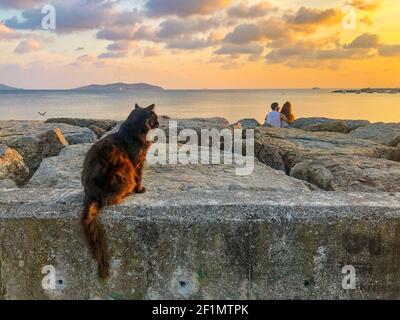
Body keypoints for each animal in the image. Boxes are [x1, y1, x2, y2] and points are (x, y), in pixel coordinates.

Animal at [80, 104, 159, 278]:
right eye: (155, 117)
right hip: (123, 170)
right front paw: (140, 190)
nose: (159, 123)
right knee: (110, 199)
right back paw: (127, 193)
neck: (134, 131)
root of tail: (91, 193)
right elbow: (139, 177)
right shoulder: (138, 161)